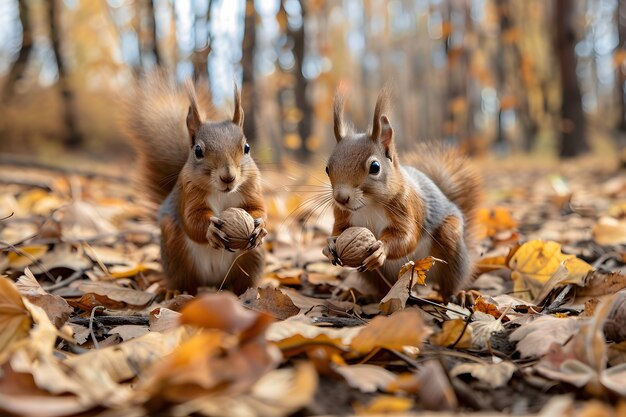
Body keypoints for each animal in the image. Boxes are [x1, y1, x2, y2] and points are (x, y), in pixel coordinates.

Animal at [122, 74, 266, 296]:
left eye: (247, 148)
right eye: (198, 151)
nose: (228, 177)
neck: (222, 193)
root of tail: (214, 282)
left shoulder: (251, 188)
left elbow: (258, 208)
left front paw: (260, 227)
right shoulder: (188, 191)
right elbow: (191, 220)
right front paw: (211, 231)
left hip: (252, 257)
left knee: (242, 280)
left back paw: (247, 292)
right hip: (175, 251)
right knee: (185, 282)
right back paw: (177, 293)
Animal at [324, 89, 480, 298]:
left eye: (375, 167)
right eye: (327, 168)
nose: (341, 198)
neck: (369, 205)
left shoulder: (406, 206)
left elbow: (407, 237)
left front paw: (381, 250)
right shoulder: (342, 214)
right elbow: (339, 230)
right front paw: (330, 243)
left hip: (451, 242)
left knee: (450, 283)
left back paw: (460, 295)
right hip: (374, 274)